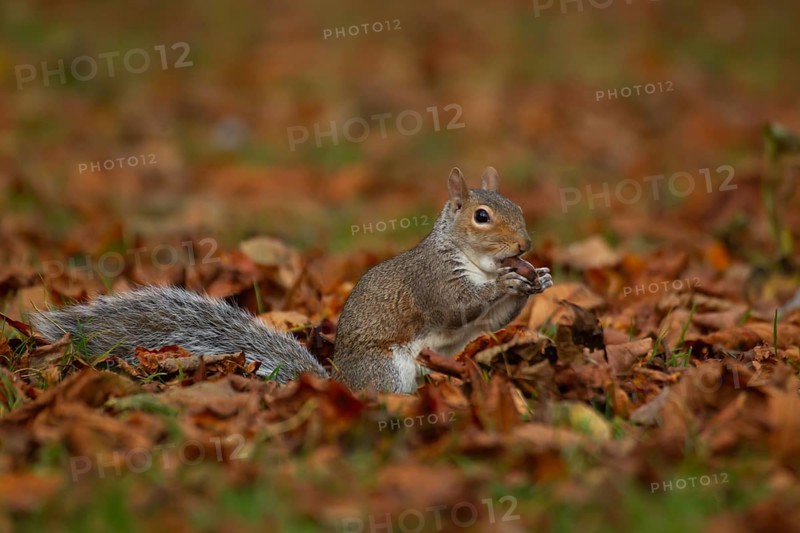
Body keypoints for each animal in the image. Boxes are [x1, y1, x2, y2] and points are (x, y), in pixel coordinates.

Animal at [31, 167, 552, 393]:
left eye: (519, 207)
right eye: (482, 216)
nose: (526, 246)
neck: (474, 260)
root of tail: (341, 384)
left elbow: (481, 327)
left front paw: (538, 281)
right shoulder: (434, 280)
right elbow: (459, 305)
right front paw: (506, 286)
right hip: (386, 370)